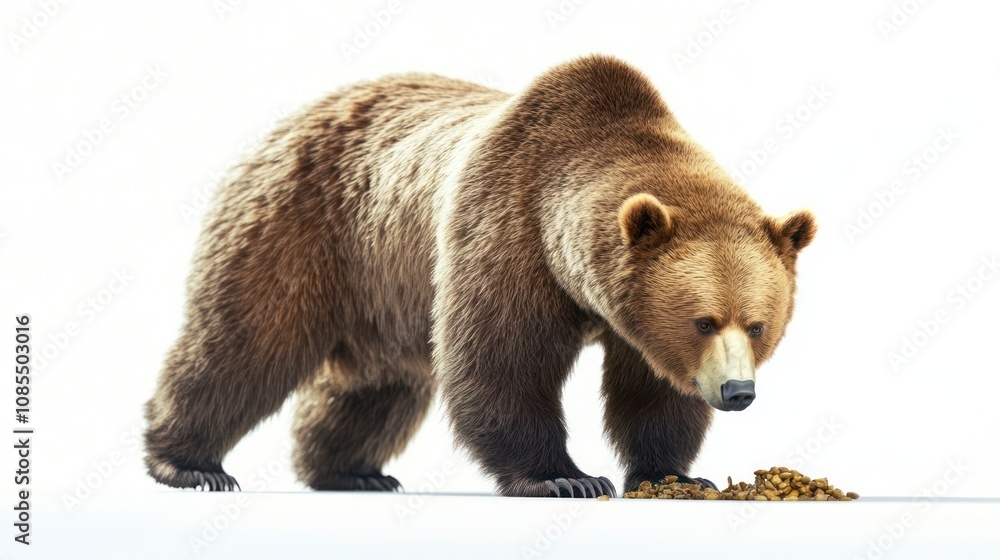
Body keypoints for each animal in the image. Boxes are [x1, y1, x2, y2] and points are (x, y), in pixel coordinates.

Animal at [143, 54, 816, 498]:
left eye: (758, 325)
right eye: (704, 320)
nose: (739, 392)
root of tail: (290, 118)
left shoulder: (629, 311)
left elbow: (652, 389)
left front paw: (672, 473)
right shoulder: (509, 229)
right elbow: (501, 358)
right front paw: (565, 477)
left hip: (384, 293)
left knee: (375, 383)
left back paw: (350, 470)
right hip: (306, 226)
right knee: (246, 341)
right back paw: (191, 465)